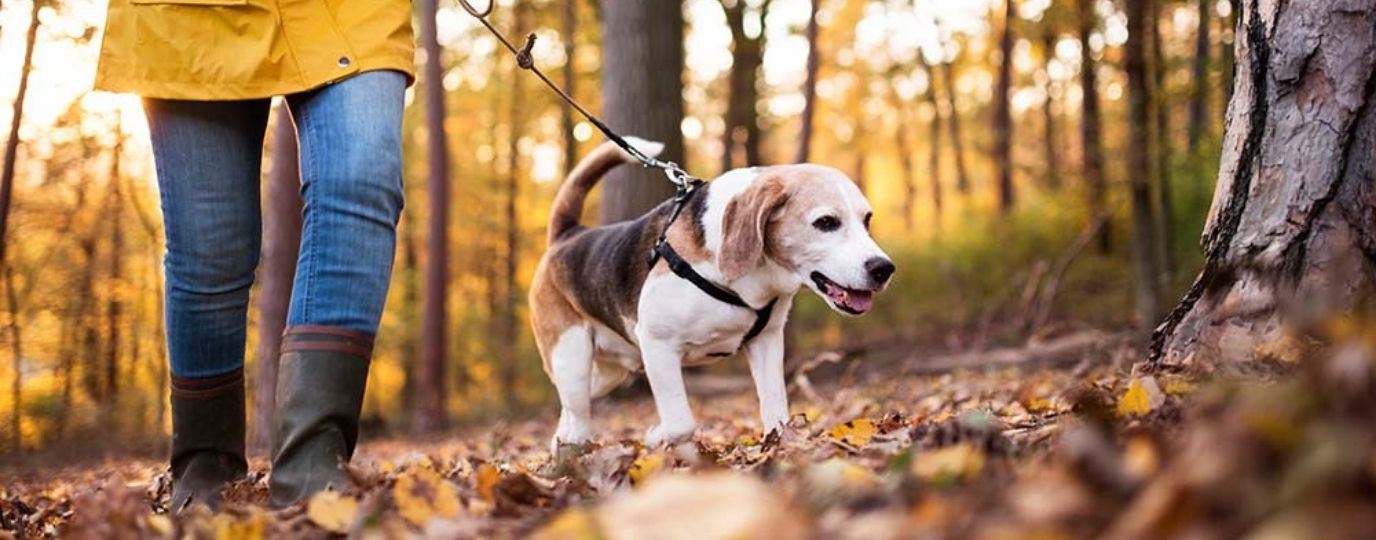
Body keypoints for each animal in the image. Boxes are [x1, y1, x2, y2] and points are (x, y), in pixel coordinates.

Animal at [525, 138, 891, 446]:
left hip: (605, 375)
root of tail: (569, 235)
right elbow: (680, 423)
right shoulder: (658, 345)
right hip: (571, 358)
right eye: (826, 222)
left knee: (568, 417)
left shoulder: (767, 342)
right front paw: (657, 436)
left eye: (867, 220)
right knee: (577, 416)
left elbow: (776, 411)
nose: (884, 268)